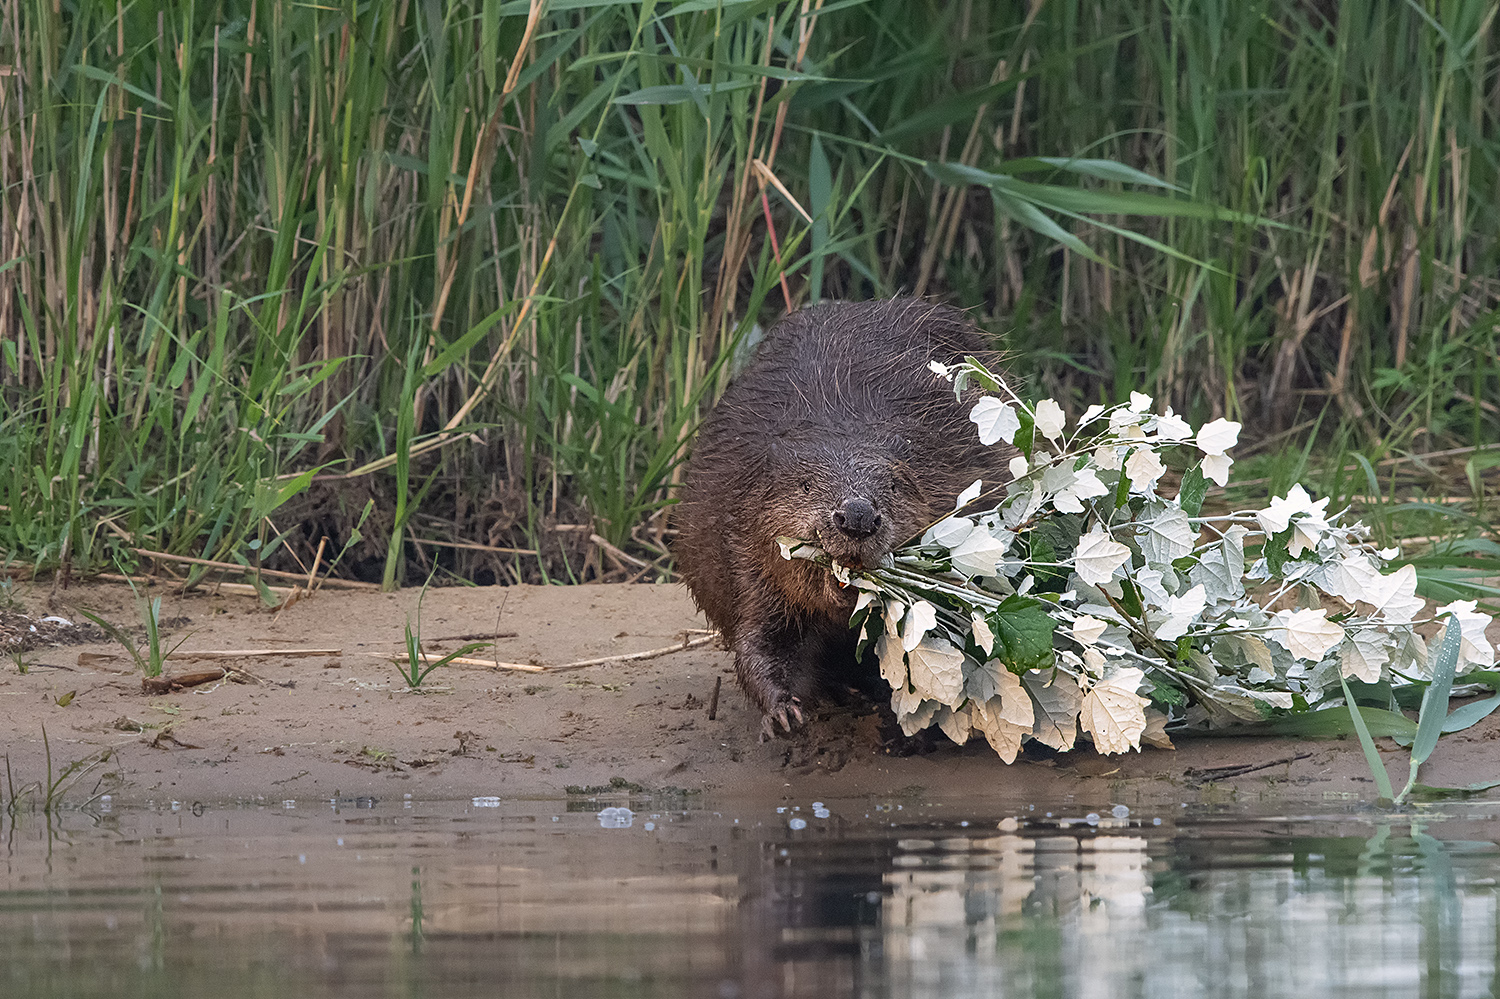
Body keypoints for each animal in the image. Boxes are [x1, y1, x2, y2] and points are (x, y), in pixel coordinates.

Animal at [678, 294, 1020, 732]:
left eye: (893, 485)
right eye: (806, 485)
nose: (857, 516)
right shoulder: (741, 544)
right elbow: (762, 639)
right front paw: (784, 713)